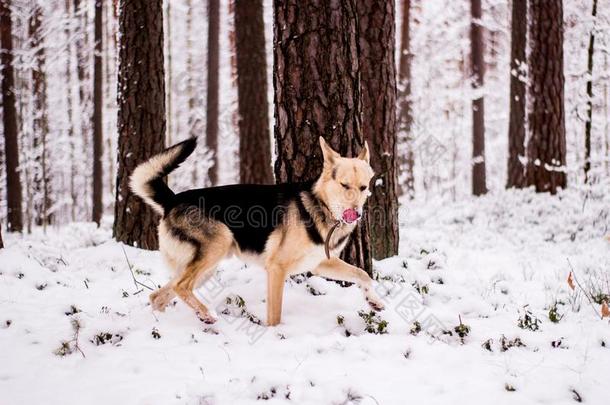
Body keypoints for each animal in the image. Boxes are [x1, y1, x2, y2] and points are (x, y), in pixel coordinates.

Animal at [130, 136, 382, 326]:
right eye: (344, 185)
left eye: (363, 188)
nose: (356, 213)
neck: (321, 206)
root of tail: (172, 200)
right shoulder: (276, 269)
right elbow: (275, 315)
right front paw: (275, 334)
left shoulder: (321, 264)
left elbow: (363, 274)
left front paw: (374, 300)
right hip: (219, 244)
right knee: (181, 286)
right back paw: (206, 314)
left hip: (204, 270)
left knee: (158, 296)